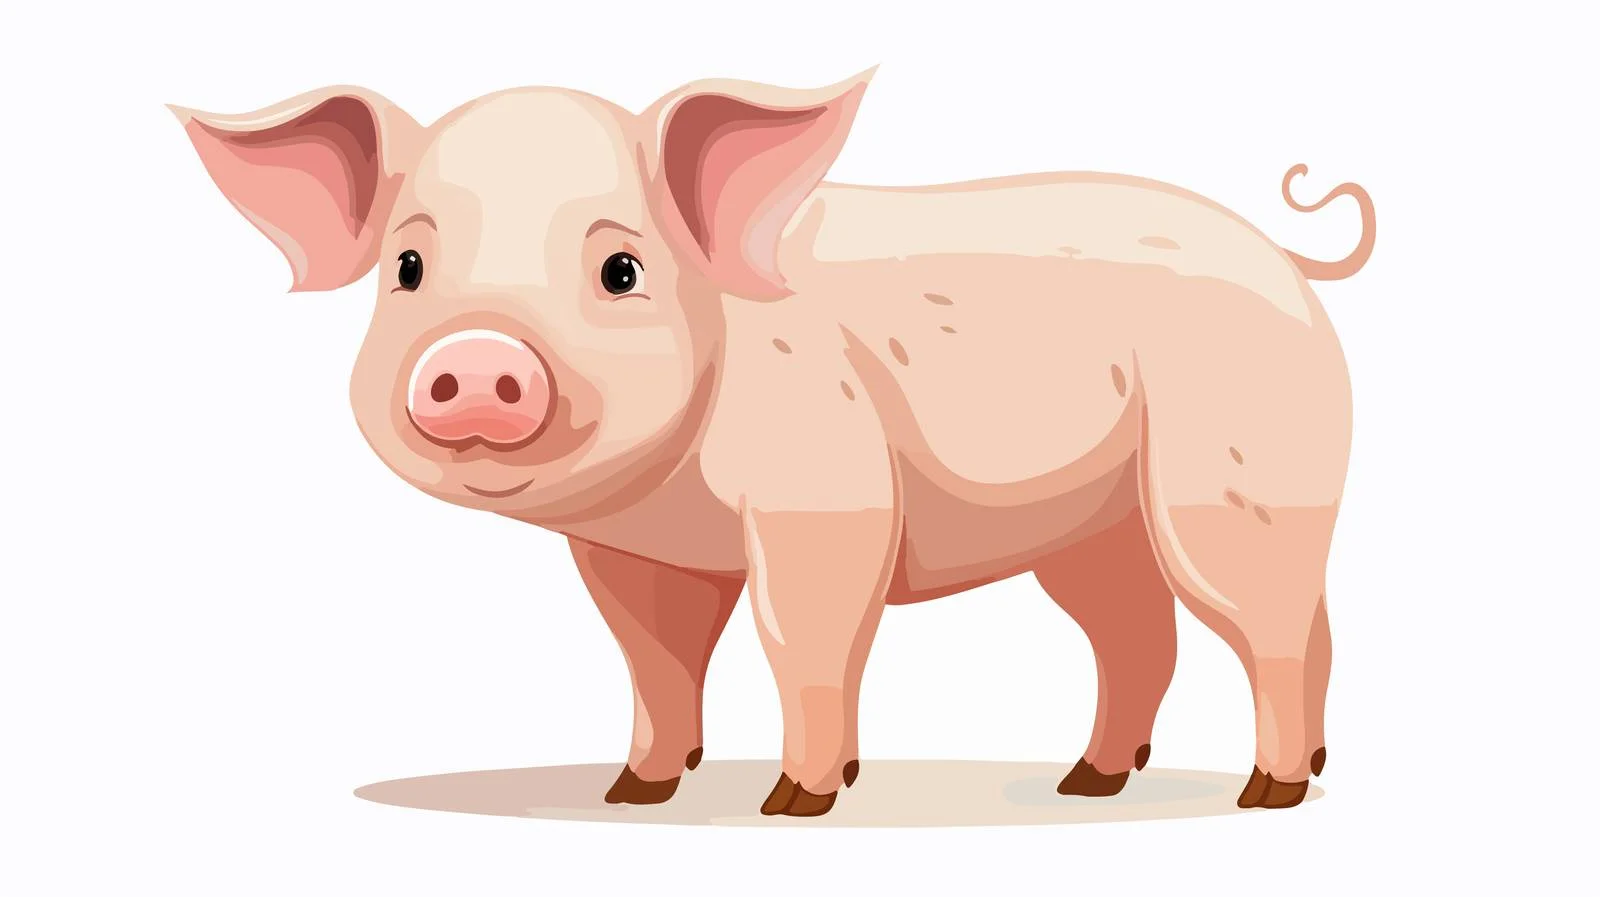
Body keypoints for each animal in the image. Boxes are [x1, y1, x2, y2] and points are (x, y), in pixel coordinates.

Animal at [170, 69, 1372, 816]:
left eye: (620, 269)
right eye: (408, 269)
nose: (473, 361)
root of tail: (1292, 261)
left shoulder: (825, 490)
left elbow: (802, 633)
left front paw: (793, 803)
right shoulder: (629, 552)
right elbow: (653, 654)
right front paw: (633, 793)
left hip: (1238, 478)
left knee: (1279, 623)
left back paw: (1268, 790)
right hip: (1093, 527)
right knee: (1143, 633)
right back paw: (1090, 784)